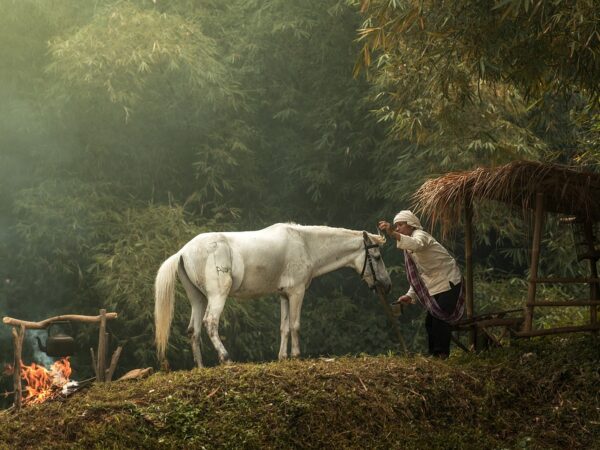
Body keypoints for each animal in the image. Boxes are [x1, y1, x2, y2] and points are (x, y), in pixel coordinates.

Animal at [152, 221, 392, 366]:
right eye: (377, 257)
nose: (387, 285)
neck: (305, 244)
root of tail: (183, 251)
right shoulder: (296, 293)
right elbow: (295, 325)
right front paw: (296, 356)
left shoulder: (284, 295)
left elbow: (284, 328)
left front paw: (282, 357)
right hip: (217, 296)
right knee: (210, 323)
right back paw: (226, 358)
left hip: (198, 299)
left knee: (193, 330)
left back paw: (200, 366)